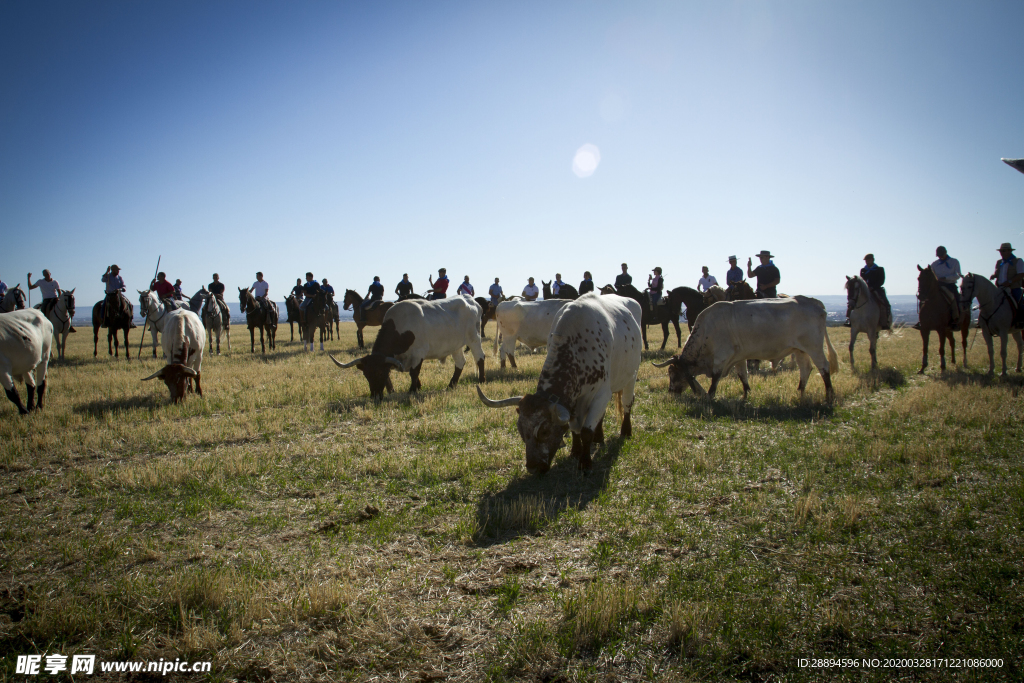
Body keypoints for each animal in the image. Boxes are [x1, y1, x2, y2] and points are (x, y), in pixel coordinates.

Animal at [329, 294, 485, 401]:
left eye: (379, 373)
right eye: (366, 375)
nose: (375, 397)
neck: (399, 328)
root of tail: (470, 299)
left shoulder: (418, 353)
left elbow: (414, 372)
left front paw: (412, 390)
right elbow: (410, 373)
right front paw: (410, 388)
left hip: (474, 338)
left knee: (480, 357)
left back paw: (482, 380)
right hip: (455, 345)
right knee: (460, 363)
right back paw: (451, 385)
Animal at [477, 294, 638, 475]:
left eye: (544, 431)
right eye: (521, 430)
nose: (533, 467)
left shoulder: (601, 394)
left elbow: (586, 431)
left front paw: (585, 462)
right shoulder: (574, 401)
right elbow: (575, 428)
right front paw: (576, 451)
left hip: (631, 376)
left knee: (627, 403)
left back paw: (626, 431)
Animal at [651, 296, 835, 401]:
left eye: (672, 373)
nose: (671, 391)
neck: (707, 329)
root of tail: (814, 302)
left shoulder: (722, 357)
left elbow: (715, 378)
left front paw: (710, 396)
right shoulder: (738, 357)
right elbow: (742, 375)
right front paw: (746, 394)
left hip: (814, 348)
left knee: (824, 368)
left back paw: (829, 394)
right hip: (800, 350)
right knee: (805, 369)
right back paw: (800, 392)